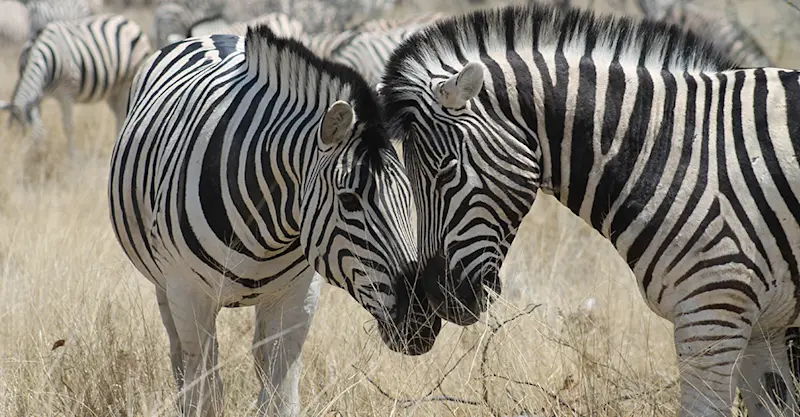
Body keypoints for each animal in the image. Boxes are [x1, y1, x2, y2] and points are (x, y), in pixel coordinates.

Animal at [0, 14, 151, 152]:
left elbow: (68, 127)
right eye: (14, 133)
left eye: (26, 133)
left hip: (127, 83)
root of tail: (128, 21)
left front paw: (73, 158)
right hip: (114, 90)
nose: (26, 157)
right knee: (119, 114)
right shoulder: (38, 95)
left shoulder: (66, 91)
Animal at [108, 25, 440, 417]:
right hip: (165, 284)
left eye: (409, 196)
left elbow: (279, 398)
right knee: (184, 358)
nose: (423, 321)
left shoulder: (297, 297)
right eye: (348, 199)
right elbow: (205, 394)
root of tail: (213, 34)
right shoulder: (188, 293)